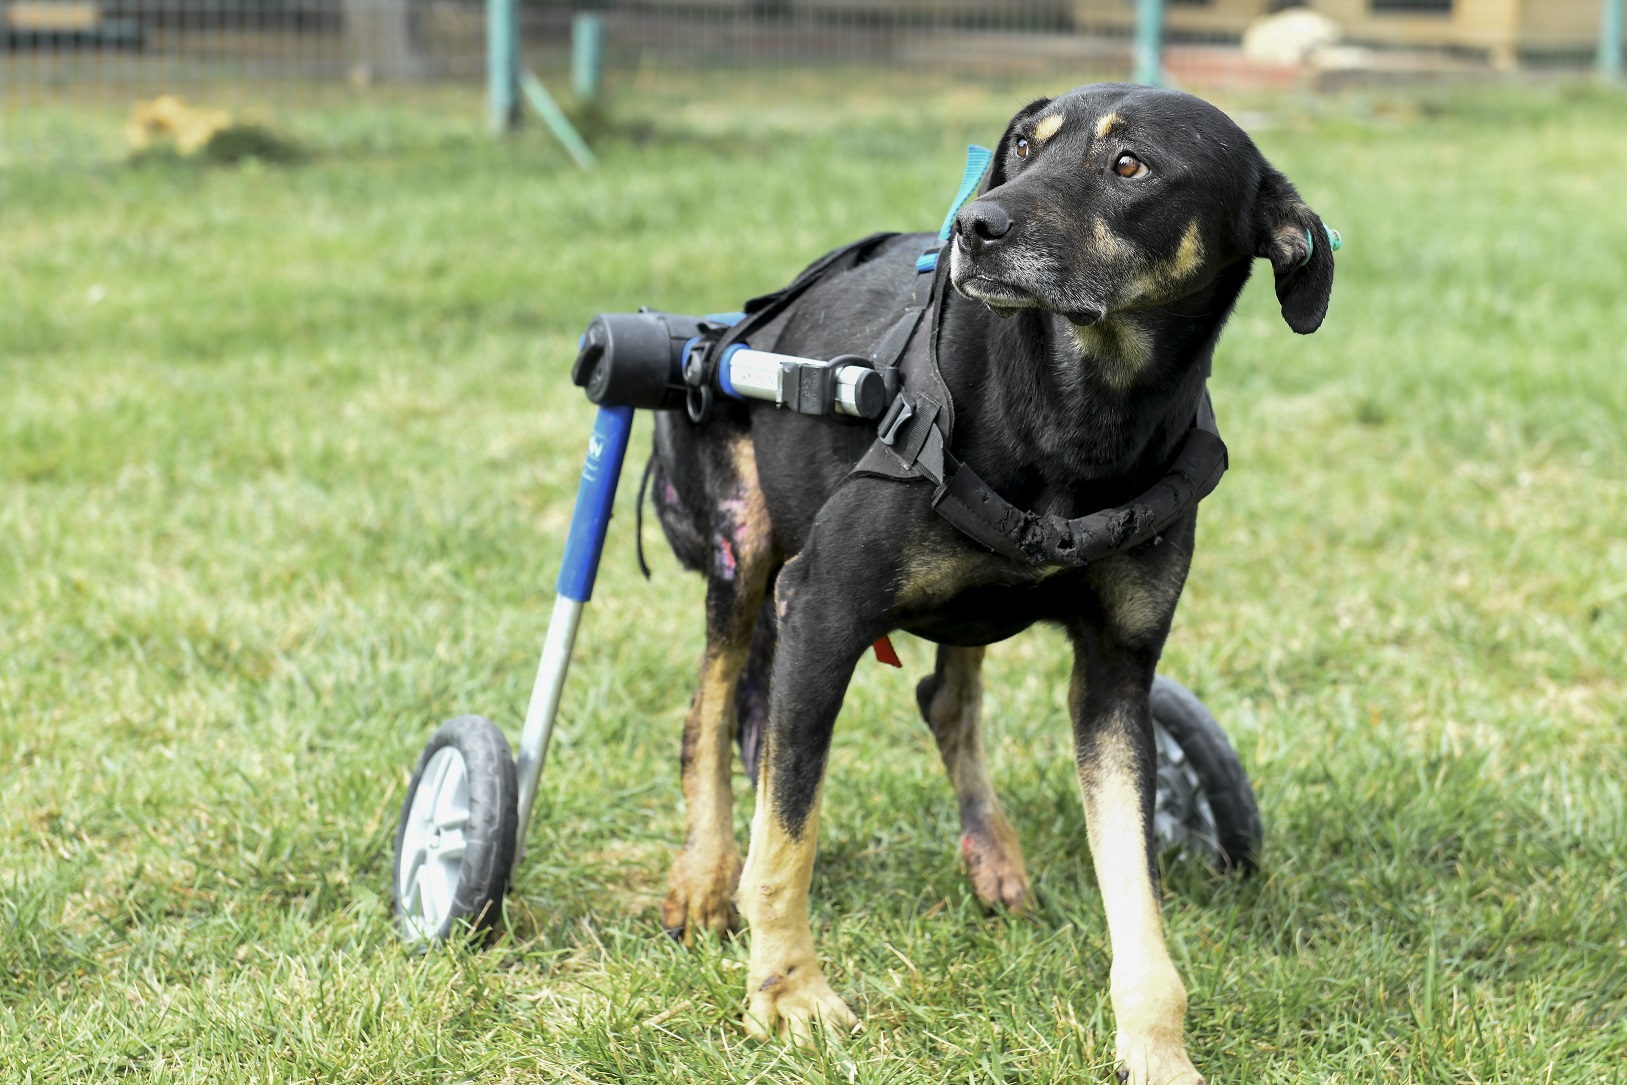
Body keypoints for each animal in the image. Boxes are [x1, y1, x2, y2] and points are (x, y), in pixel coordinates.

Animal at [641, 82, 1327, 1085]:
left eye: (1129, 165)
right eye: (1023, 148)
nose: (974, 224)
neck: (1077, 408)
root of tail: (726, 333)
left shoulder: (1115, 672)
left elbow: (1134, 883)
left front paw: (1155, 1044)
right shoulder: (821, 606)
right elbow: (786, 838)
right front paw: (788, 993)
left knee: (940, 700)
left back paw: (992, 855)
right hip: (744, 544)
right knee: (714, 710)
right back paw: (701, 877)